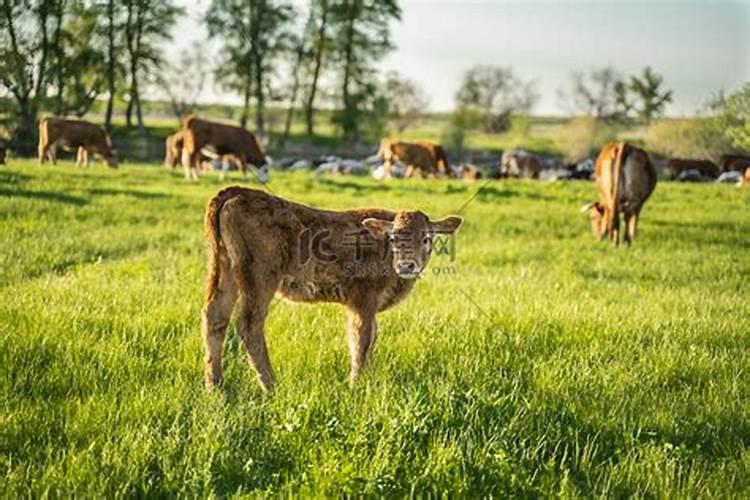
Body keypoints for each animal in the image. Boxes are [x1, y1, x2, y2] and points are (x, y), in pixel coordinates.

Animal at [200, 187, 464, 390]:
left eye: (426, 238)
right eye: (394, 238)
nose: (407, 264)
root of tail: (236, 192)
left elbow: (371, 339)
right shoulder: (362, 302)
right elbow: (361, 340)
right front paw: (355, 384)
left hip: (225, 270)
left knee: (215, 317)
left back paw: (215, 388)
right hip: (259, 279)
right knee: (249, 324)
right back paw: (272, 386)